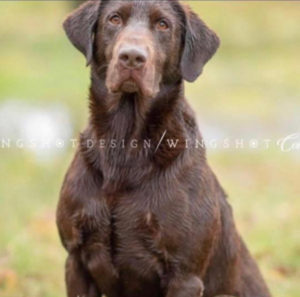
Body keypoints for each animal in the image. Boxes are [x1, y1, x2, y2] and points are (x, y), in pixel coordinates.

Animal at [56, 1, 272, 294]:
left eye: (163, 25)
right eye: (114, 19)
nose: (132, 57)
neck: (125, 145)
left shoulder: (184, 275)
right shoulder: (76, 260)